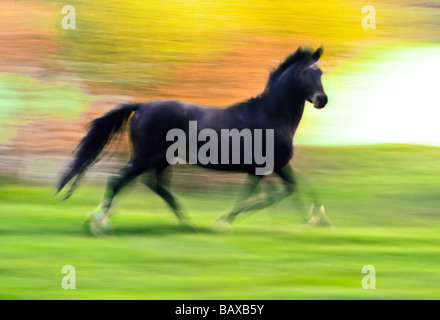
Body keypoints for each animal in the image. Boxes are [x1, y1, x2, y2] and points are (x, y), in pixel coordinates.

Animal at [58, 46, 334, 232]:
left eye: (320, 72)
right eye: (306, 73)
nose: (322, 100)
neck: (270, 115)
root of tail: (142, 106)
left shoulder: (275, 167)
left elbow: (293, 189)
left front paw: (318, 218)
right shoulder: (265, 168)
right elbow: (269, 195)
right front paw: (222, 221)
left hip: (160, 160)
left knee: (153, 185)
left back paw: (185, 222)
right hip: (146, 156)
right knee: (119, 180)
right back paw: (100, 224)